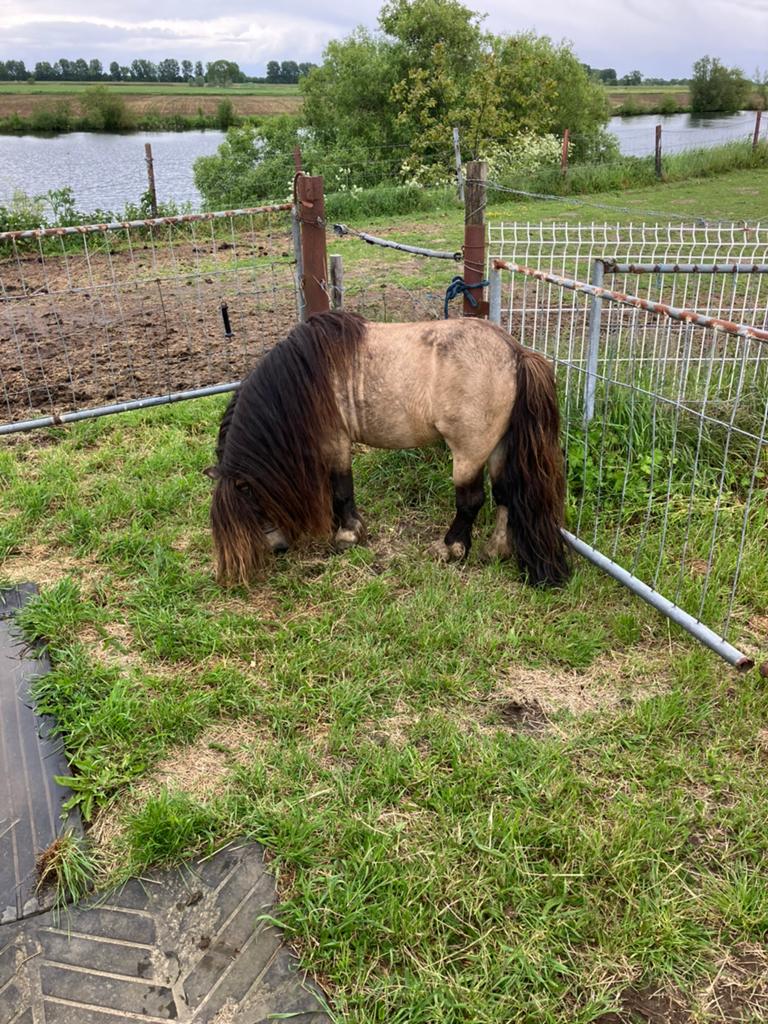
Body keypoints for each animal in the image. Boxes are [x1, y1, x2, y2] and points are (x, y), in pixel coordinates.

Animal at [206, 311, 570, 587]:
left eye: (250, 506)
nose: (276, 548)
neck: (303, 379)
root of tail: (515, 352)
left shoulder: (336, 442)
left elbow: (341, 489)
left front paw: (348, 535)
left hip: (468, 453)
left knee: (471, 501)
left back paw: (451, 548)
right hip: (496, 448)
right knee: (505, 495)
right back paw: (495, 550)